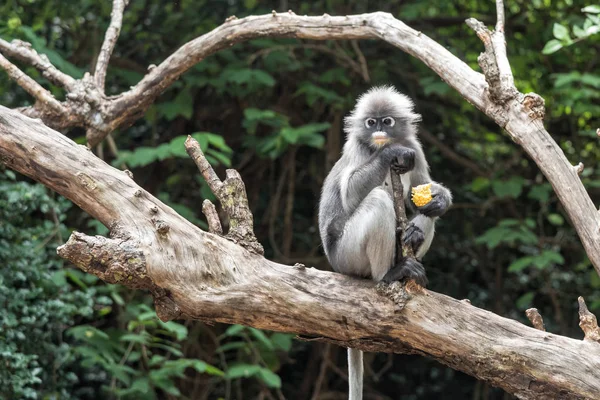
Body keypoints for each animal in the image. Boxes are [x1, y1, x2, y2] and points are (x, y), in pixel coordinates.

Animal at [318, 86, 450, 398]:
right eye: (371, 122)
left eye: (386, 121)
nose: (378, 130)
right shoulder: (355, 148)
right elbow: (350, 196)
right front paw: (390, 153)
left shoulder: (415, 146)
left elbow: (423, 188)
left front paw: (440, 199)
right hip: (347, 255)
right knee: (377, 199)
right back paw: (390, 276)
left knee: (426, 212)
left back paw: (411, 244)